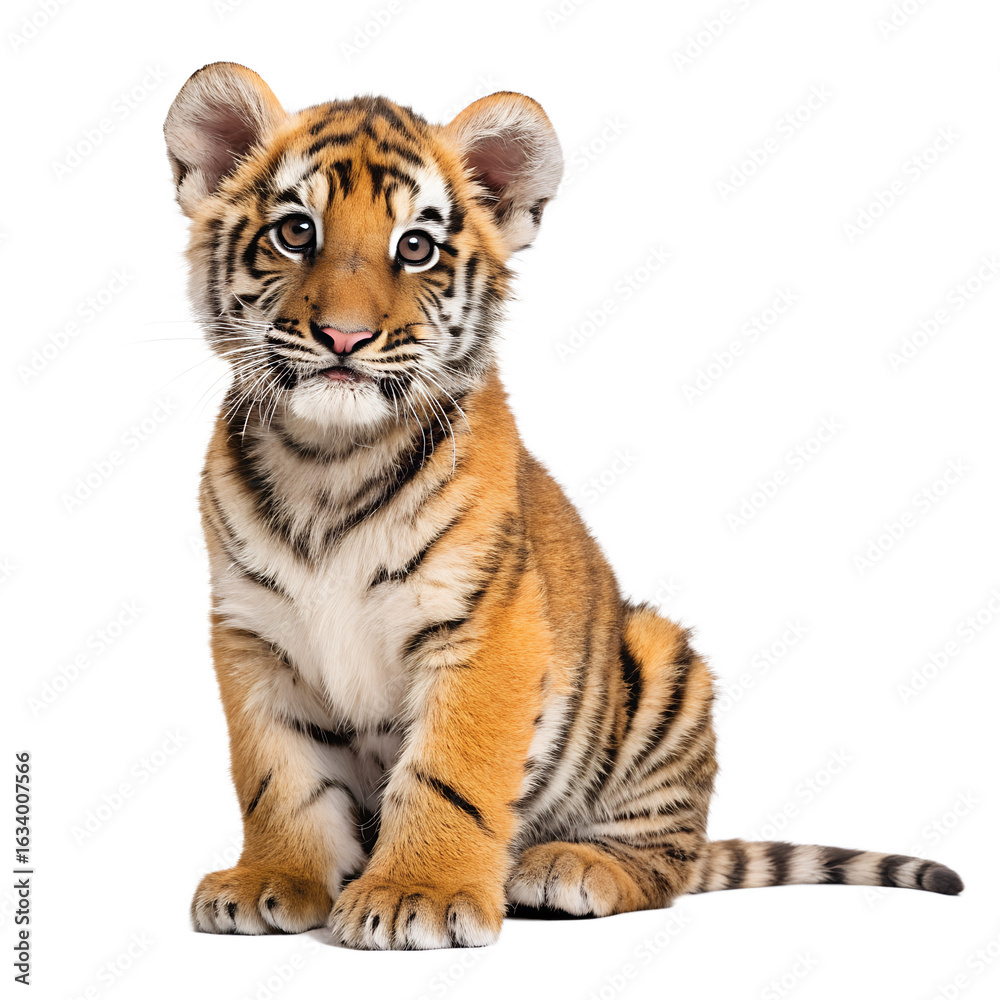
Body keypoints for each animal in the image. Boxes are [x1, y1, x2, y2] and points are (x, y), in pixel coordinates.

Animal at [164, 62, 963, 950]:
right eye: (296, 232)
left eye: (416, 247)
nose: (344, 337)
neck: (327, 459)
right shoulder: (253, 638)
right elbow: (279, 776)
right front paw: (272, 880)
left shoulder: (486, 629)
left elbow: (450, 772)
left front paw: (419, 895)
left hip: (661, 664)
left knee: (664, 866)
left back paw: (567, 869)